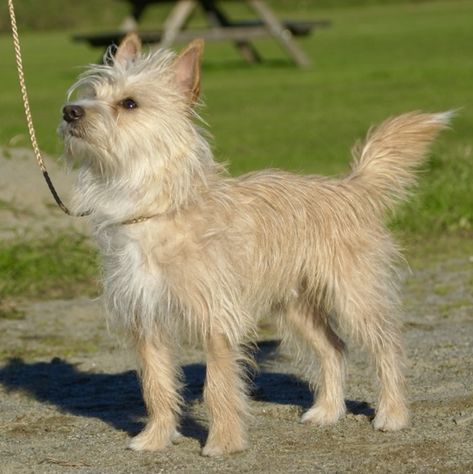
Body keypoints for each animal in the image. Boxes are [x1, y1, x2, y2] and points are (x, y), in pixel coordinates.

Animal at [60, 33, 450, 456]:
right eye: (93, 93)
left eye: (129, 103)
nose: (70, 111)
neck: (152, 207)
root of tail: (349, 188)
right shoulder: (146, 320)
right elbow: (156, 386)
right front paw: (156, 438)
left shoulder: (217, 320)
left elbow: (217, 387)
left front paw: (223, 443)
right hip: (295, 308)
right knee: (334, 348)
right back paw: (328, 410)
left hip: (354, 297)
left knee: (386, 347)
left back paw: (392, 414)